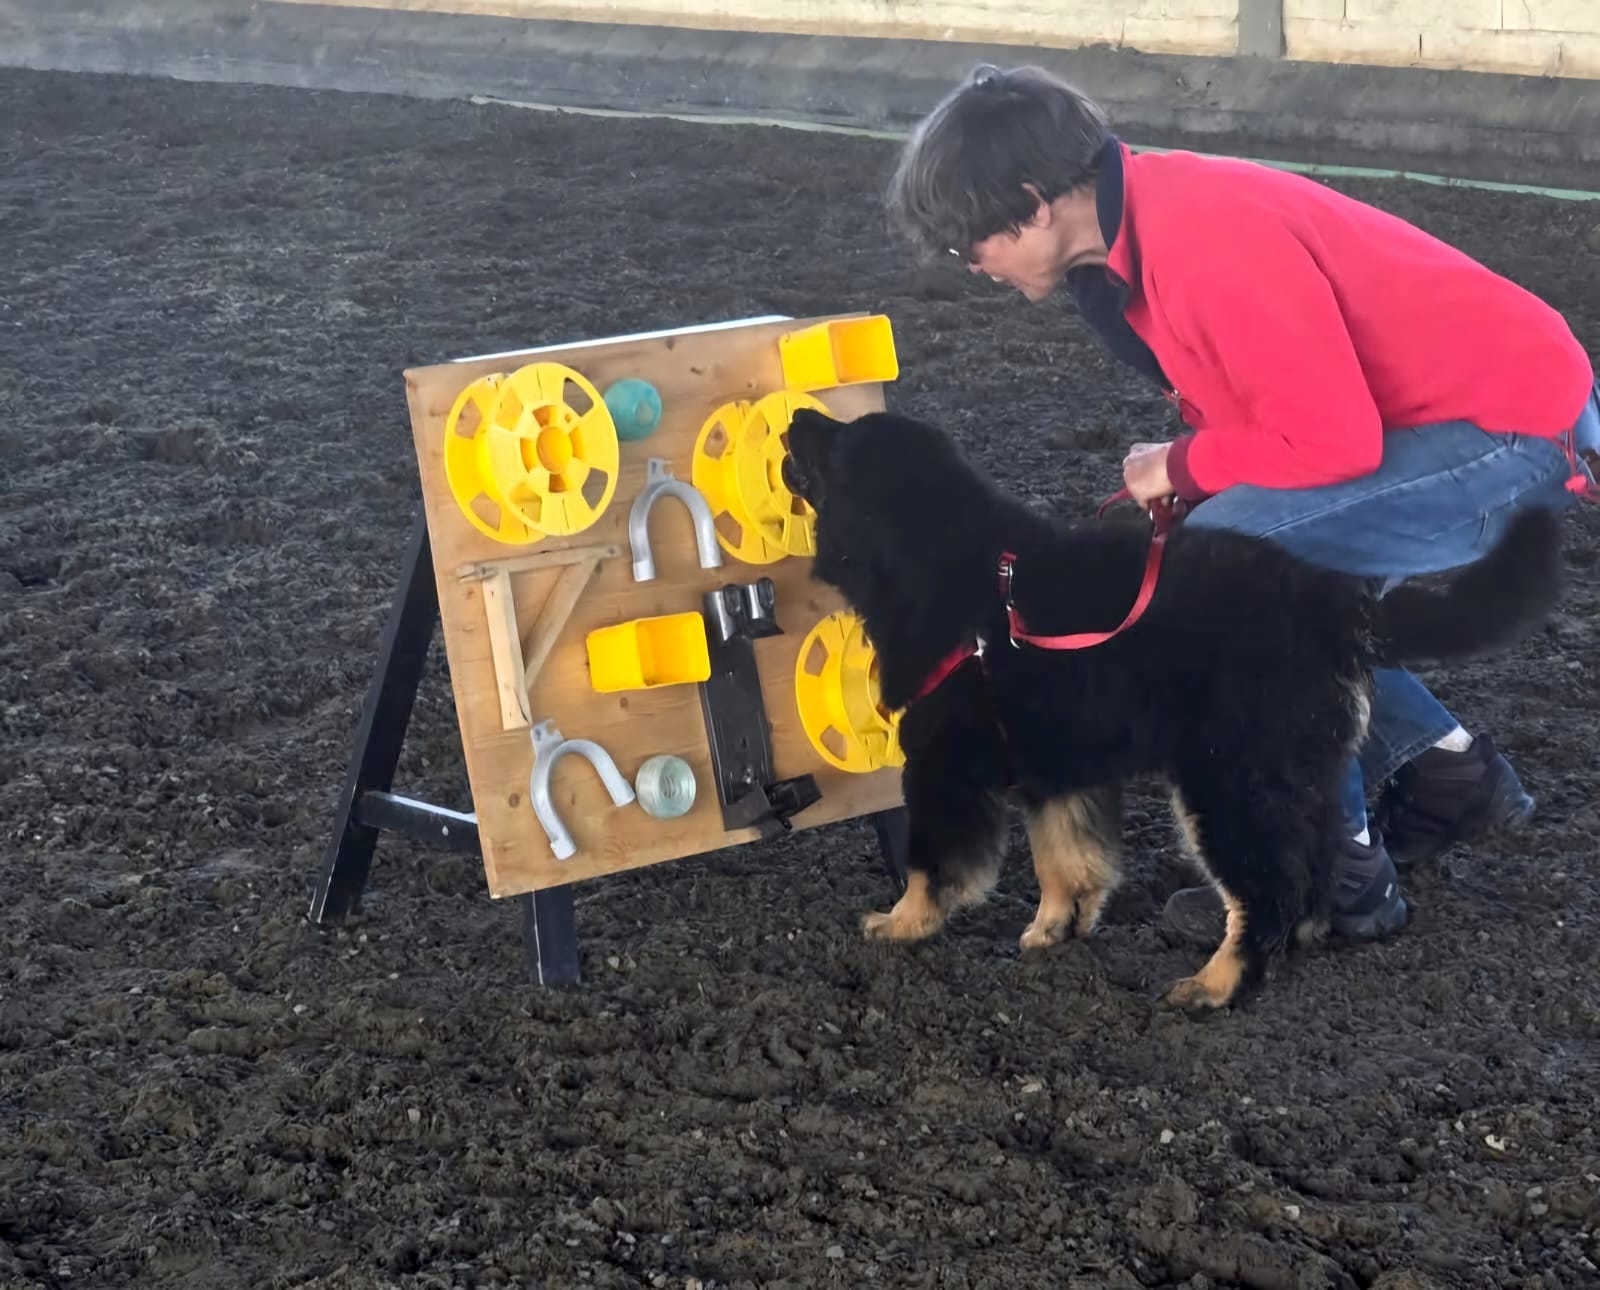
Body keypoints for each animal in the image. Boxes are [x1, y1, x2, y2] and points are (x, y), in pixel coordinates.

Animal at [787, 403, 1561, 1011]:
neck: (956, 567)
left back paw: (1217, 984)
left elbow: (931, 862)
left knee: (1267, 884)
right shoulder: (1062, 762)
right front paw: (1053, 930)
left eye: (838, 442)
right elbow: (1067, 858)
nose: (796, 417)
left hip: (1230, 778)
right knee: (1310, 859)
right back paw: (1303, 936)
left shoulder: (944, 763)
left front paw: (900, 925)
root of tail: (1336, 604)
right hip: (1290, 767)